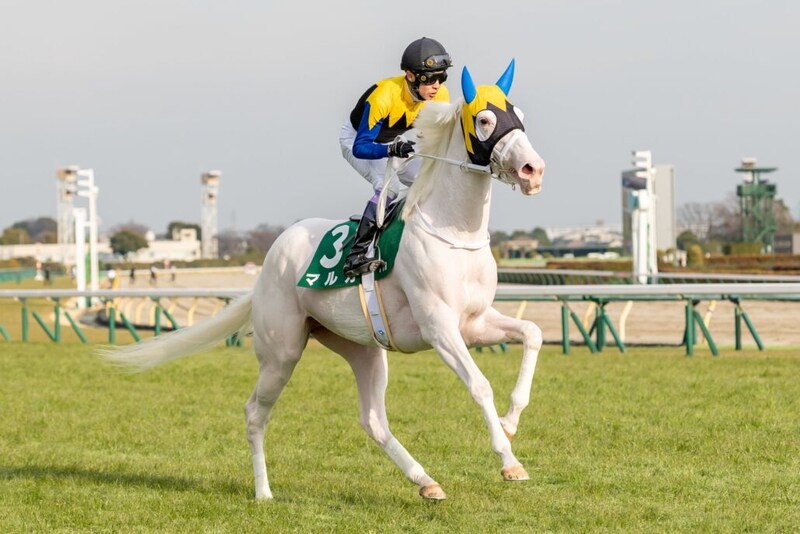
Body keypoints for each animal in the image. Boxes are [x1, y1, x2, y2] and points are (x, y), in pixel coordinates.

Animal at [100, 59, 546, 501]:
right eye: (485, 119)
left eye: (521, 116)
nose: (533, 170)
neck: (453, 232)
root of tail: (270, 260)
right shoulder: (439, 327)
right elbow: (480, 385)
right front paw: (509, 461)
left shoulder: (474, 322)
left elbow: (532, 333)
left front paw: (510, 421)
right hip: (281, 351)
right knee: (255, 413)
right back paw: (264, 492)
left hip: (361, 347)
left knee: (373, 420)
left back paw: (425, 481)